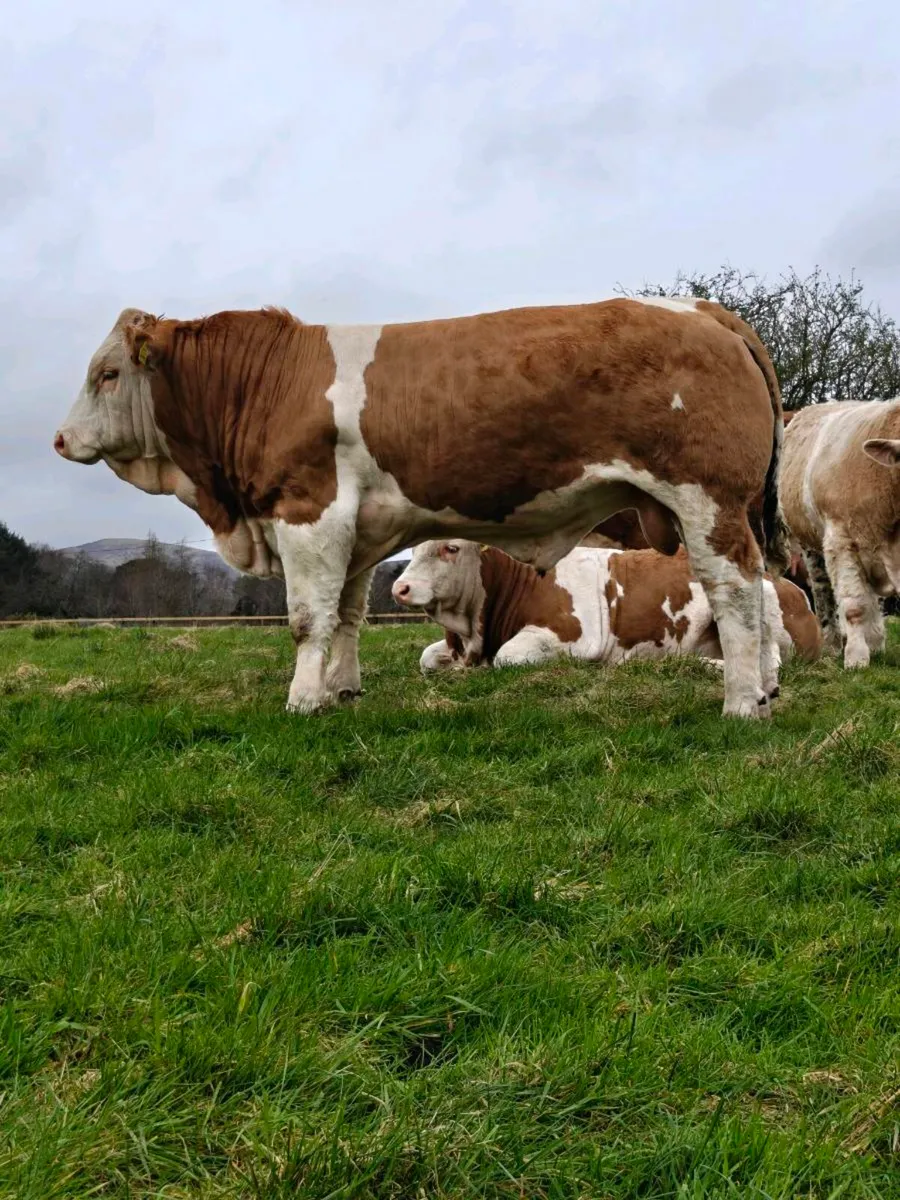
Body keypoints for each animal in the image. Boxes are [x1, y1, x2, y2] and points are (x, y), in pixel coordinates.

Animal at [392, 541, 822, 679]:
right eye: (413, 547)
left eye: (450, 547)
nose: (400, 588)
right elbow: (426, 657)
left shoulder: (576, 637)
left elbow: (508, 657)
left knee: (768, 659)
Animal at [779, 398, 900, 668]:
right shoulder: (841, 541)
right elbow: (854, 606)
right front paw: (856, 656)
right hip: (812, 546)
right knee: (824, 593)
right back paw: (834, 643)